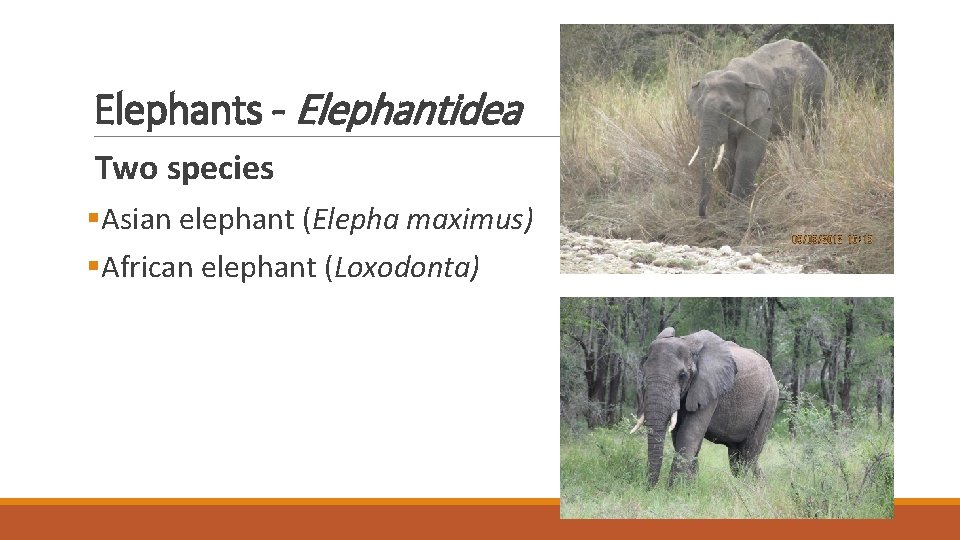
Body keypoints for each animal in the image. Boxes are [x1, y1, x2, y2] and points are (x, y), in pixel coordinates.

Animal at [630, 327, 779, 487]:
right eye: (644, 373)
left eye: (682, 375)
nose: (649, 488)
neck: (688, 343)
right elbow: (679, 435)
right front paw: (689, 487)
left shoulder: (709, 387)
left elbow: (688, 434)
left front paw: (674, 489)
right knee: (736, 456)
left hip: (769, 401)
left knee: (749, 454)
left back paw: (752, 487)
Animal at [687, 39, 828, 217]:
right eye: (698, 108)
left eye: (728, 110)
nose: (704, 214)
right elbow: (729, 155)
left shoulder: (763, 110)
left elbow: (748, 153)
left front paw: (737, 209)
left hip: (820, 93)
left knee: (818, 132)